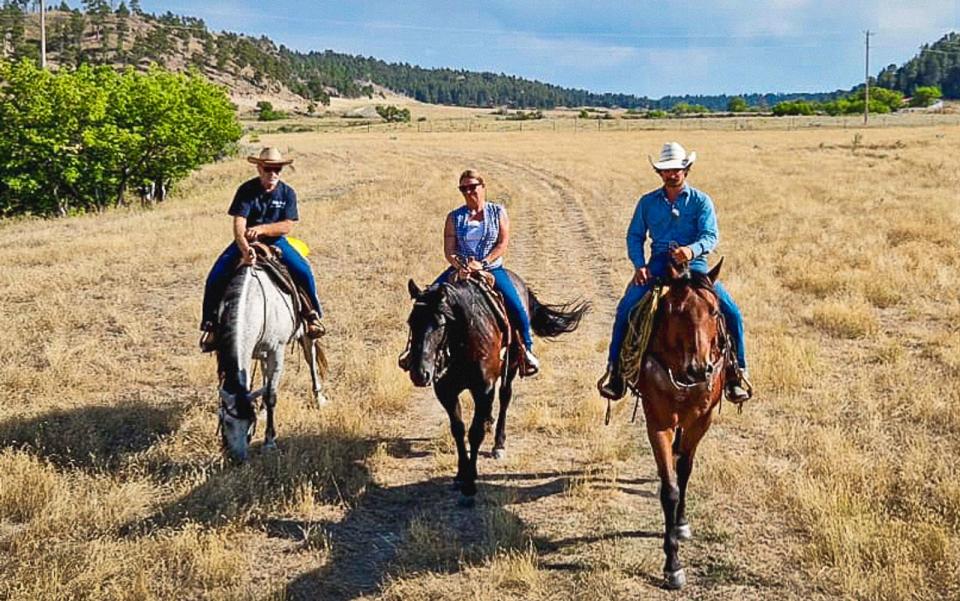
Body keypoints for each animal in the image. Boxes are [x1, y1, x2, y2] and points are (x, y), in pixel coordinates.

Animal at [215, 260, 326, 462]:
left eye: (250, 422)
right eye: (226, 421)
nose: (238, 459)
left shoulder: (277, 352)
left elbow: (271, 395)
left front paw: (269, 442)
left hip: (306, 334)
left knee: (311, 359)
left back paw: (318, 398)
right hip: (262, 353)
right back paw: (263, 409)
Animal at [404, 274, 588, 504]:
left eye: (439, 323)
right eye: (411, 321)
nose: (419, 374)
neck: (464, 340)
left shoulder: (484, 388)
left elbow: (475, 433)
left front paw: (470, 482)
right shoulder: (446, 391)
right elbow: (458, 429)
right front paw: (460, 474)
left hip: (511, 368)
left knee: (504, 398)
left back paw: (499, 443)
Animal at [632, 260, 732, 588]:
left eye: (713, 311)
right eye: (676, 310)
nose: (699, 368)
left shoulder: (703, 419)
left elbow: (685, 471)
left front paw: (680, 524)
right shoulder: (657, 423)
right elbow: (670, 489)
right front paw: (672, 564)